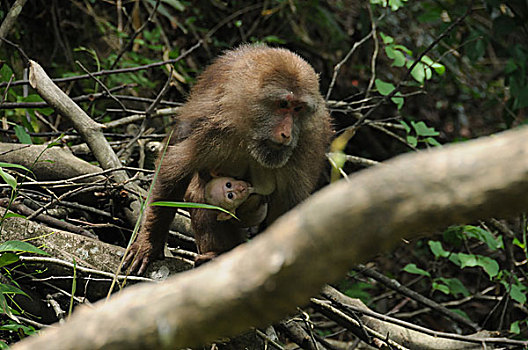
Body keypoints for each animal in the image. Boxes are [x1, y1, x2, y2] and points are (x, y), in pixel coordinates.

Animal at [124, 44, 332, 274]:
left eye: (298, 108)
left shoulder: (305, 145)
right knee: (199, 193)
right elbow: (172, 170)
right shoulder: (214, 126)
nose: (287, 133)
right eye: (283, 104)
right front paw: (148, 243)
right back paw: (217, 254)